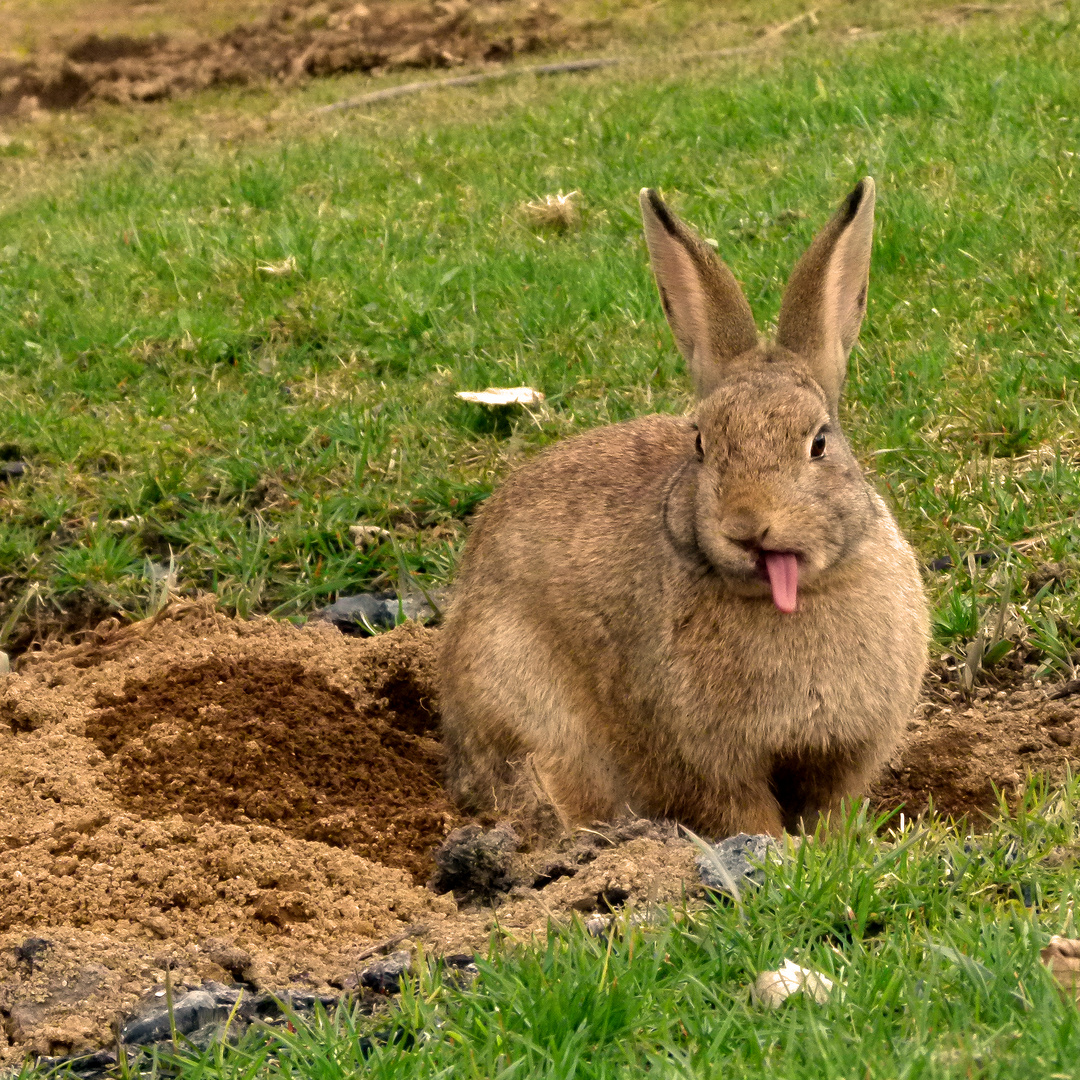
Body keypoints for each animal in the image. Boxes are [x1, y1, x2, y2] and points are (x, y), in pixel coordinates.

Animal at [438, 179, 928, 833]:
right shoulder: (710, 763)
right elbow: (745, 813)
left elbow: (830, 807)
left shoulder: (848, 753)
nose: (747, 526)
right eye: (701, 443)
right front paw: (774, 849)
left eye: (819, 442)